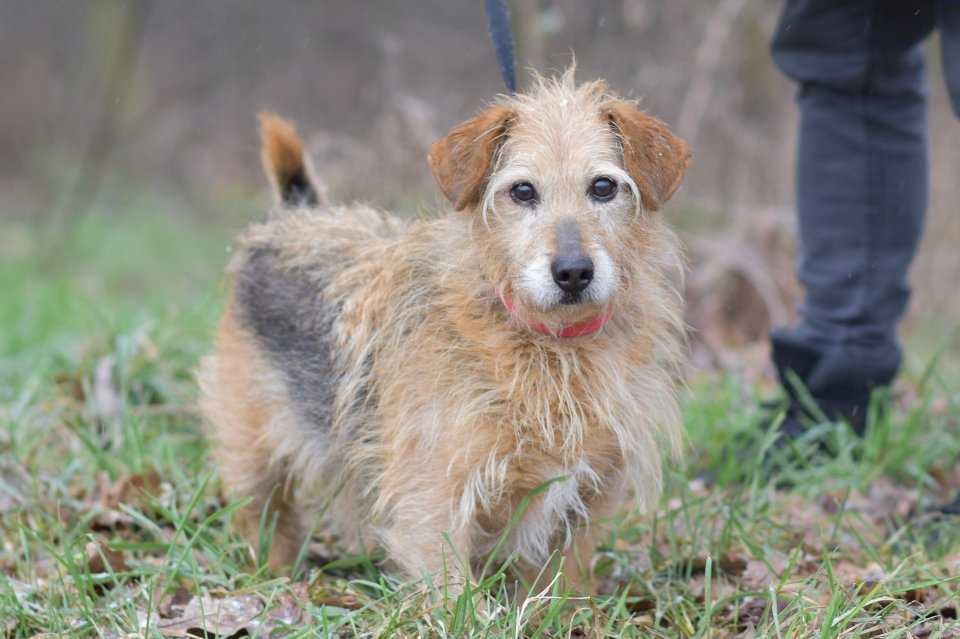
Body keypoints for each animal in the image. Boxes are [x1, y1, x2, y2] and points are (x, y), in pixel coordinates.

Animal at [199, 67, 688, 592]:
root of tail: (295, 216)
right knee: (265, 515)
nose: (573, 271)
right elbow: (453, 594)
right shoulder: (433, 497)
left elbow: (563, 583)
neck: (549, 349)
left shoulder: (590, 492)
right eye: (522, 191)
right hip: (251, 451)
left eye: (603, 187)